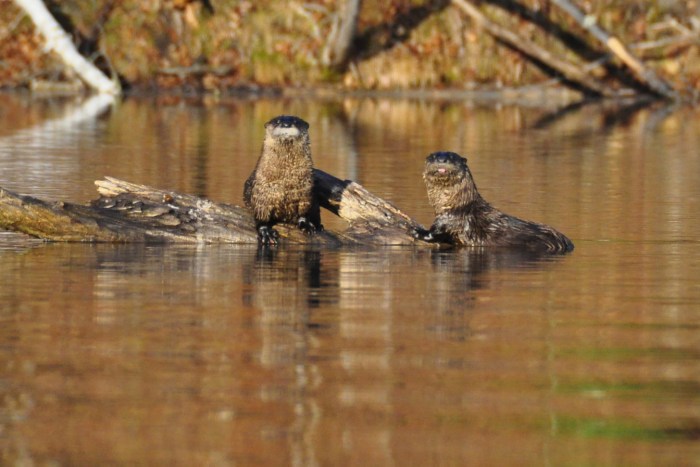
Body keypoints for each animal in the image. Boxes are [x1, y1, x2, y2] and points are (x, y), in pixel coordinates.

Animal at [243, 115, 322, 245]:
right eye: (278, 121)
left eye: (295, 121)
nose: (286, 124)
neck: (286, 182)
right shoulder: (261, 193)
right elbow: (260, 216)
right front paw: (266, 232)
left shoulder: (305, 192)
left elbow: (304, 212)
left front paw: (307, 224)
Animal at [414, 151, 574, 253]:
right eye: (434, 156)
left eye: (452, 157)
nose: (442, 160)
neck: (455, 205)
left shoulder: (451, 220)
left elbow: (436, 234)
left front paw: (418, 231)